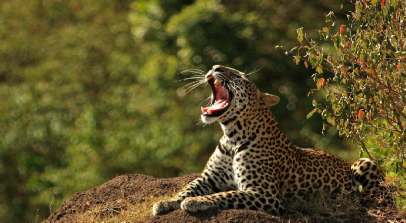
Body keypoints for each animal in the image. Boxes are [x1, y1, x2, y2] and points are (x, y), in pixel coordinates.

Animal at [151, 64, 392, 216]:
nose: (215, 67)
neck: (231, 136)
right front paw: (165, 202)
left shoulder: (264, 193)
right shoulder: (208, 178)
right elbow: (187, 186)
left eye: (240, 76)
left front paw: (196, 202)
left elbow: (225, 194)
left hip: (363, 163)